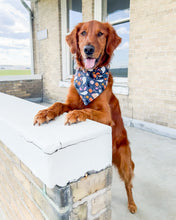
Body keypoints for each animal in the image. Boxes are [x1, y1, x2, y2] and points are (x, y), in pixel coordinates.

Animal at [33, 20, 138, 213]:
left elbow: (88, 110)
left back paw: (132, 204)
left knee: (129, 184)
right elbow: (58, 104)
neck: (90, 77)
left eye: (100, 34)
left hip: (125, 163)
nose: (88, 49)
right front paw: (45, 112)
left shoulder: (106, 116)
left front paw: (76, 115)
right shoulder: (69, 102)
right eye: (82, 33)